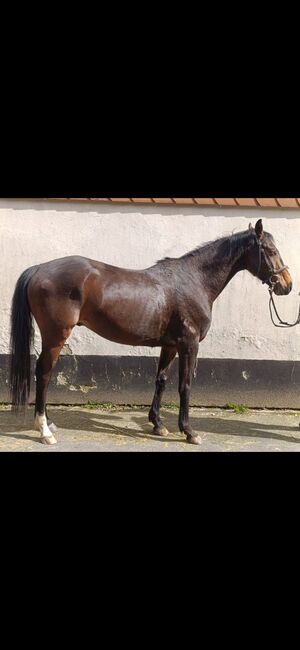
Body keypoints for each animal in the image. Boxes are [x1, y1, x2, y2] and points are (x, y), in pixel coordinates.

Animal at [9, 220, 292, 442]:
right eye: (270, 250)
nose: (287, 285)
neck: (194, 281)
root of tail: (39, 268)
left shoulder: (170, 345)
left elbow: (161, 381)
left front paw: (158, 424)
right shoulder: (189, 344)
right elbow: (185, 385)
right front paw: (189, 431)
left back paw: (49, 422)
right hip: (56, 336)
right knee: (44, 373)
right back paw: (45, 431)